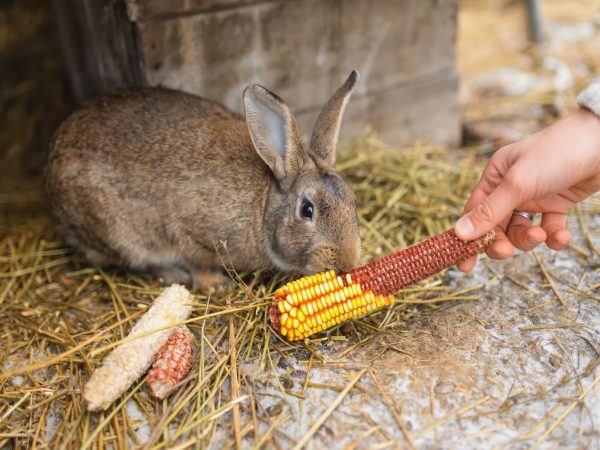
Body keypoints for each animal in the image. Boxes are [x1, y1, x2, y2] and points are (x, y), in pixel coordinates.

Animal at [45, 69, 360, 288]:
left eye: (353, 201)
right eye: (307, 210)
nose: (347, 262)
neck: (263, 208)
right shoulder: (189, 230)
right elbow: (198, 261)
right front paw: (215, 285)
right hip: (116, 232)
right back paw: (174, 274)